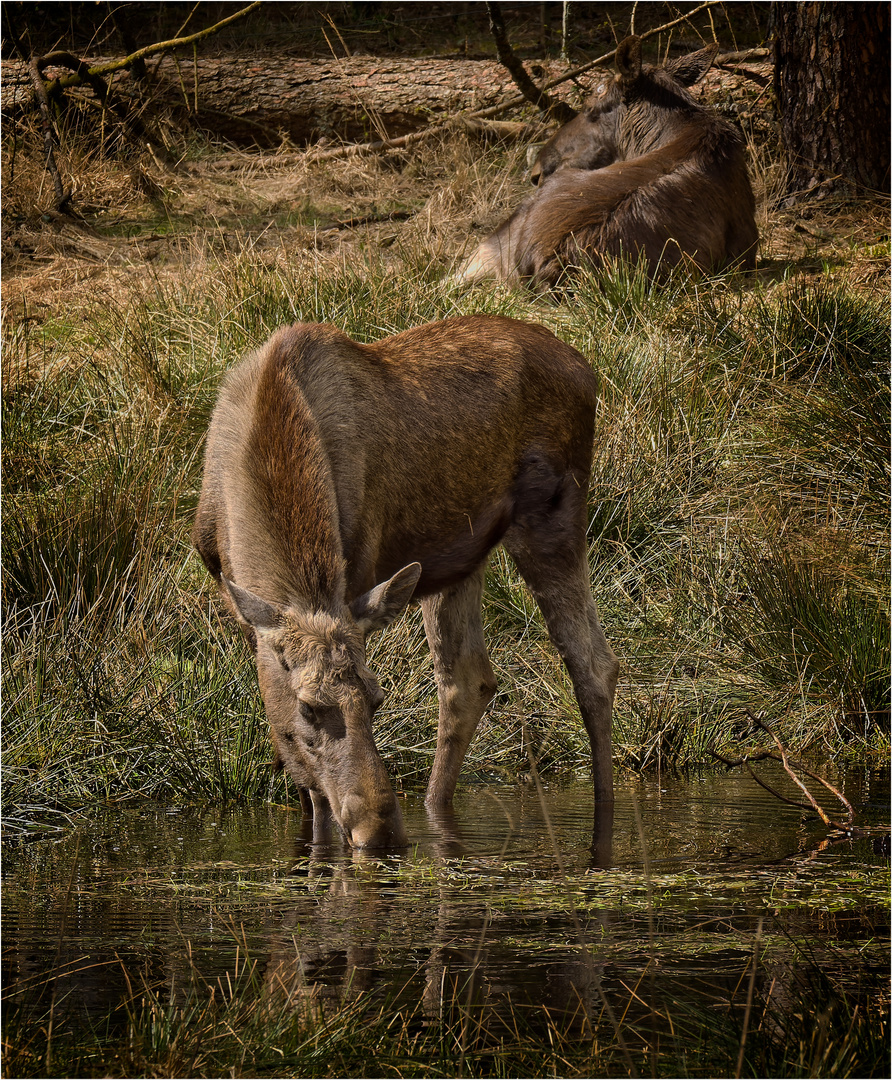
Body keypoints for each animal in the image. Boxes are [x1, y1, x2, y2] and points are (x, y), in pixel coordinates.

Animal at [191, 315, 613, 846]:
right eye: (309, 707)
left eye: (378, 699)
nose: (381, 829)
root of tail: (588, 371)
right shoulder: (244, 606)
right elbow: (290, 749)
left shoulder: (354, 579)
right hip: (460, 553)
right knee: (467, 679)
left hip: (553, 514)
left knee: (592, 662)